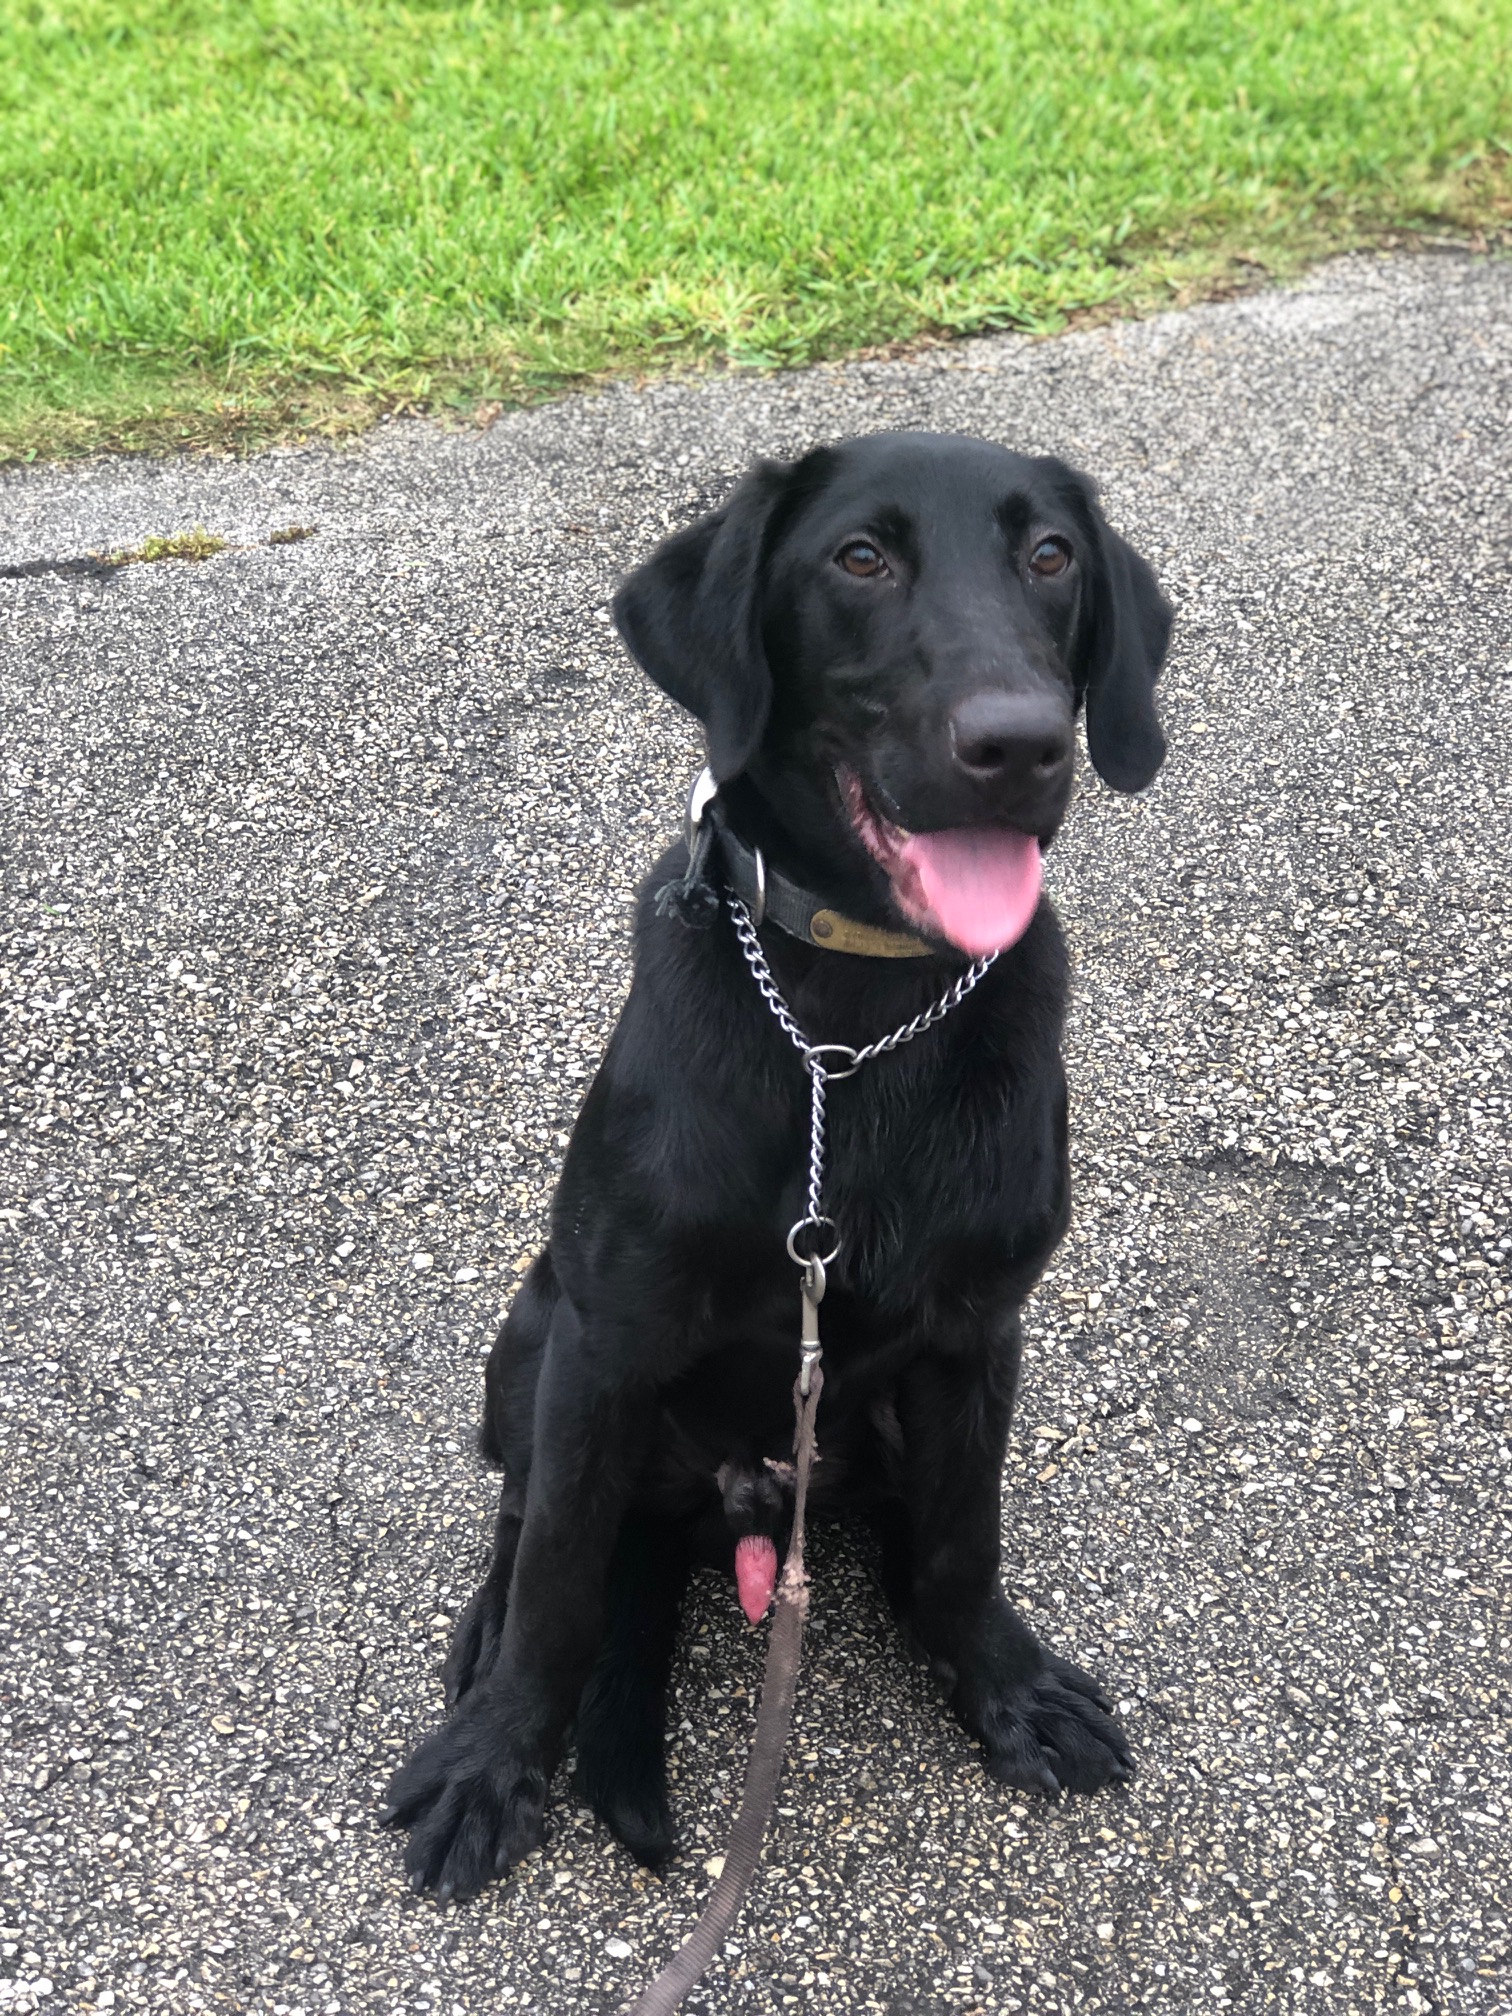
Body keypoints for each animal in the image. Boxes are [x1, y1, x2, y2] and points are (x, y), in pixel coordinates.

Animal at [385, 433, 1177, 1895]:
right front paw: (494, 1760)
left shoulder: (976, 1338)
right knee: (524, 1518)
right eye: (858, 558)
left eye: (1052, 557)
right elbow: (560, 1580)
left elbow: (965, 1541)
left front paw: (1002, 1684)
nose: (1020, 742)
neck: (851, 1030)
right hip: (532, 1332)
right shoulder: (605, 1342)